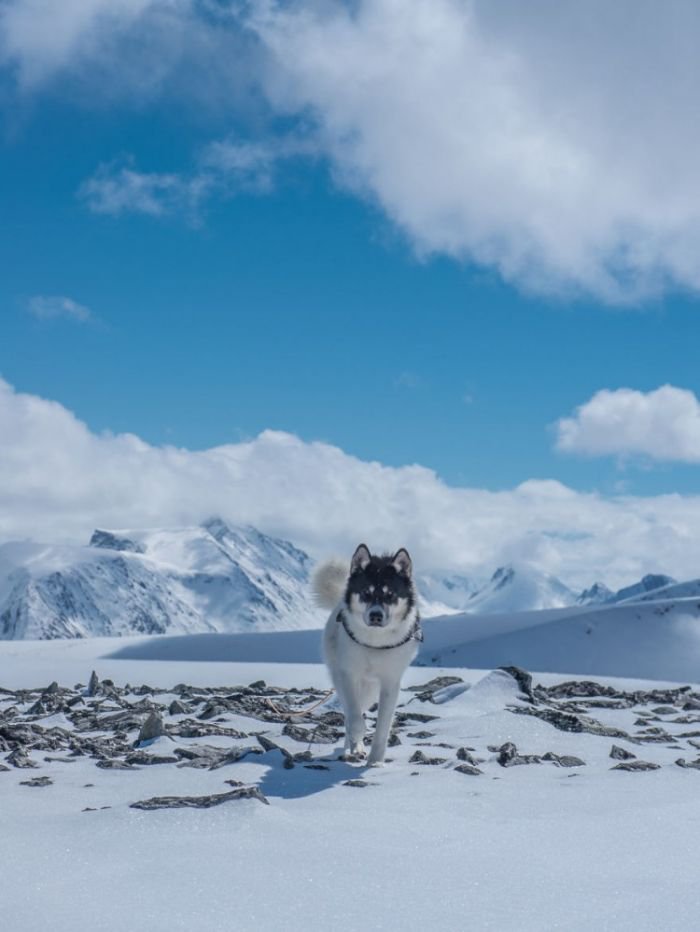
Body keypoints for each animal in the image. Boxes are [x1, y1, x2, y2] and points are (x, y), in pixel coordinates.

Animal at [312, 548, 422, 764]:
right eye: (365, 593)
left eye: (390, 594)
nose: (376, 616)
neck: (375, 643)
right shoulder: (348, 675)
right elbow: (354, 717)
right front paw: (357, 736)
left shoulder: (390, 683)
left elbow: (383, 726)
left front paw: (376, 761)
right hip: (343, 677)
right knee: (350, 712)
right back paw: (353, 747)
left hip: (371, 689)